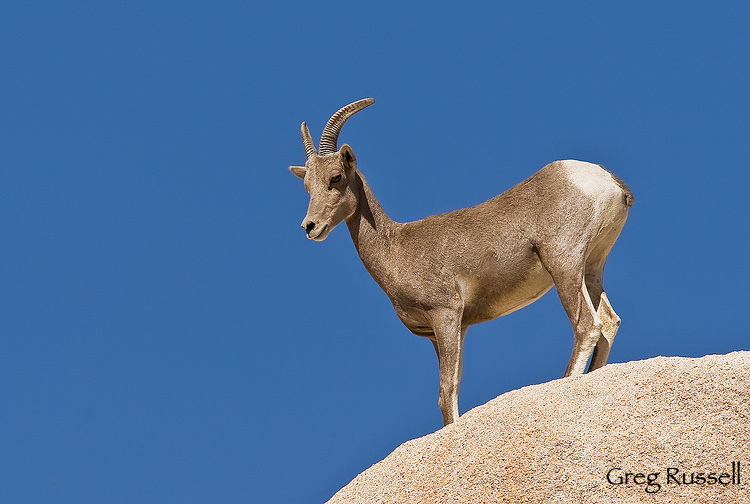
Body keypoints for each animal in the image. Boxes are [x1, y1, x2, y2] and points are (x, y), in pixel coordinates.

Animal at [290, 98, 632, 426]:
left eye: (336, 177)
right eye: (307, 185)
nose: (310, 226)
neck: (396, 247)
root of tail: (605, 179)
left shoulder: (446, 315)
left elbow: (447, 389)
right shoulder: (452, 329)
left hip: (563, 264)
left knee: (587, 325)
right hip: (590, 267)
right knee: (609, 321)